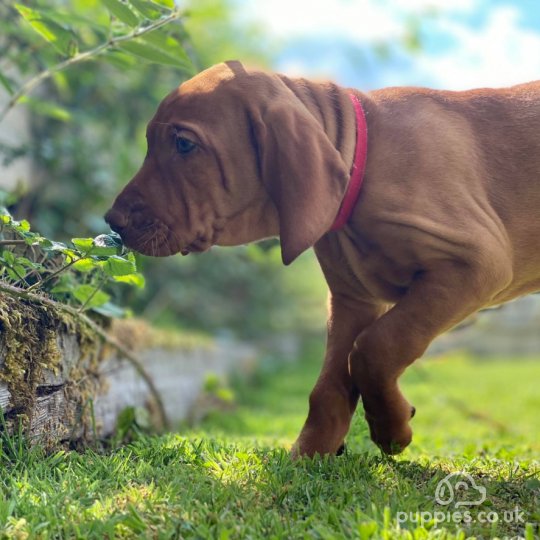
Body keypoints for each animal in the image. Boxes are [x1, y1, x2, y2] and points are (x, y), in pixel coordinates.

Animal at [104, 60, 540, 456]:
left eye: (184, 144)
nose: (112, 220)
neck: (365, 159)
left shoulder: (475, 263)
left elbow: (376, 347)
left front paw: (391, 429)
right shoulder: (351, 300)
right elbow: (332, 381)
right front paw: (310, 453)